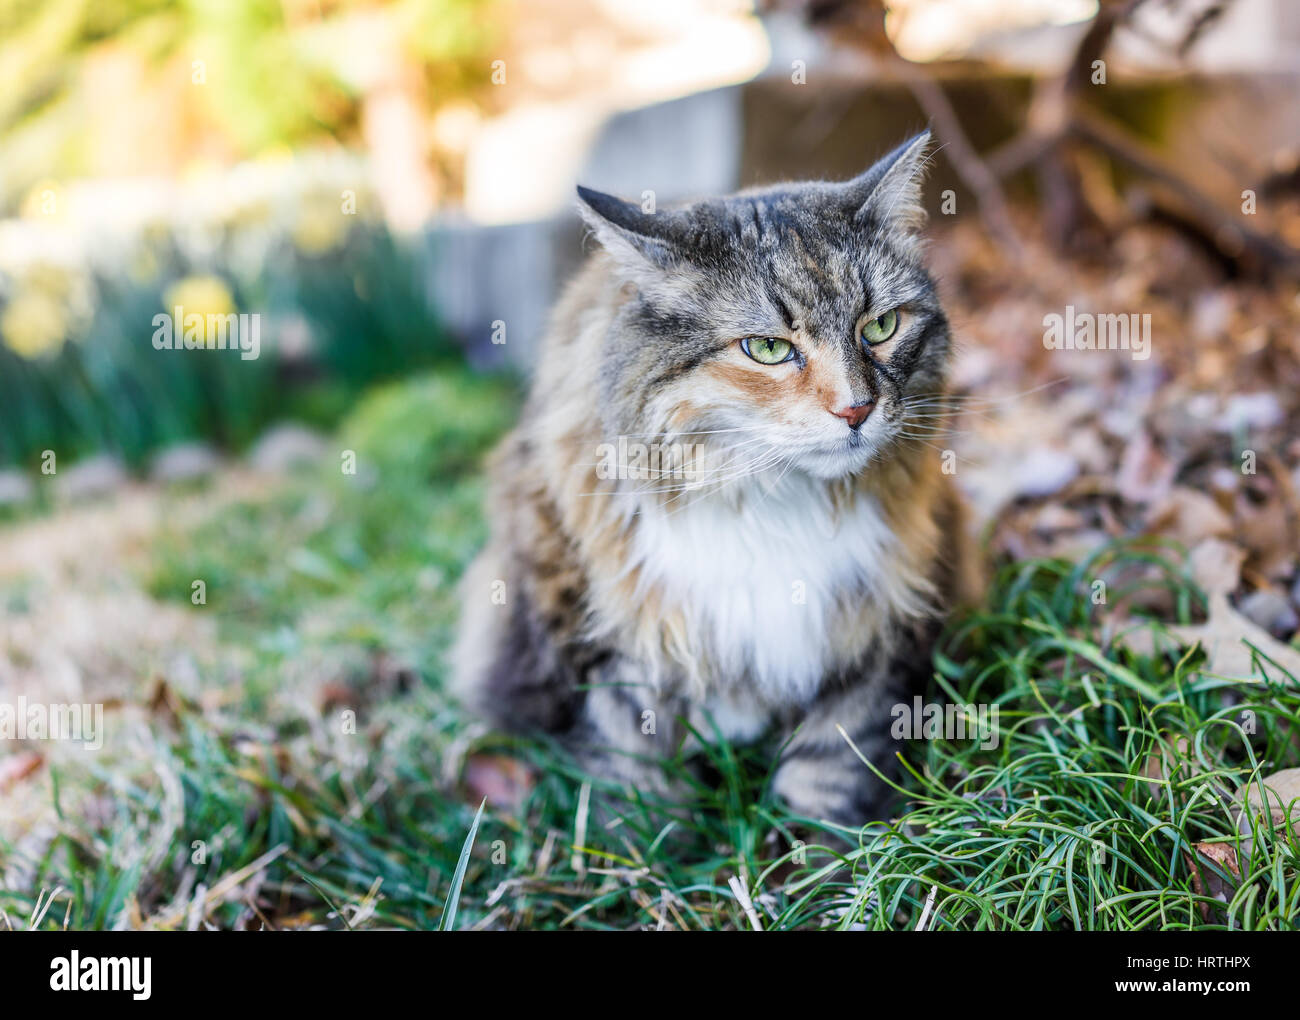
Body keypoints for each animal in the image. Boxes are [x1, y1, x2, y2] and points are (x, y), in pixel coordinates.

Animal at [454, 131, 977, 821]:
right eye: (768, 349)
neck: (773, 503)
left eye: (881, 327)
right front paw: (636, 840)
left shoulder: (872, 623)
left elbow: (833, 766)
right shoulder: (616, 636)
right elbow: (632, 769)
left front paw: (830, 847)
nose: (857, 409)